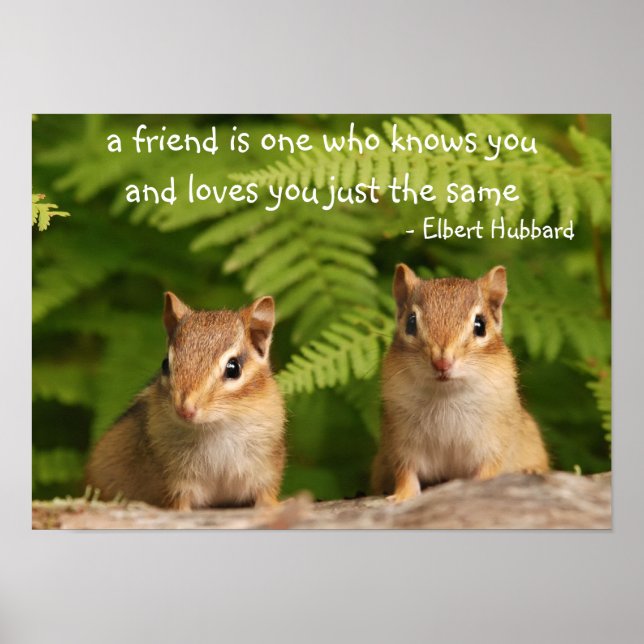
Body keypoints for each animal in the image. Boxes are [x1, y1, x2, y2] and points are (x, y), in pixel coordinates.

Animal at [85, 292, 286, 511]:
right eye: (165, 364)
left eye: (233, 368)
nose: (185, 409)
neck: (215, 428)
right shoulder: (175, 481)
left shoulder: (265, 471)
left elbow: (266, 496)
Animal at [372, 264, 549, 502]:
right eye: (410, 322)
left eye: (480, 325)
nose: (441, 362)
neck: (445, 394)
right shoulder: (400, 442)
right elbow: (405, 473)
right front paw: (402, 497)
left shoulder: (494, 444)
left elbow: (489, 470)